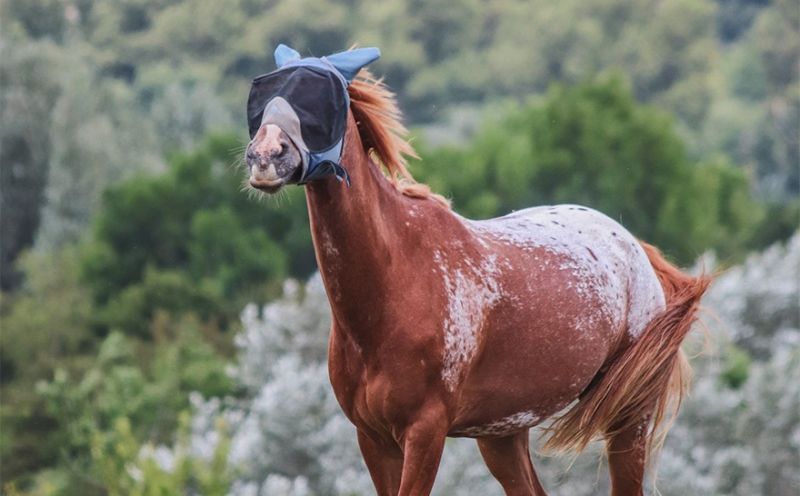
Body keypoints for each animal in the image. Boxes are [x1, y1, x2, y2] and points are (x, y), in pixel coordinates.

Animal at [243, 46, 710, 496]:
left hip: (628, 423)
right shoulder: (373, 439)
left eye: (319, 99)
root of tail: (634, 247)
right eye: (262, 96)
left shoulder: (425, 433)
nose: (265, 157)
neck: (395, 284)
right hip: (503, 435)